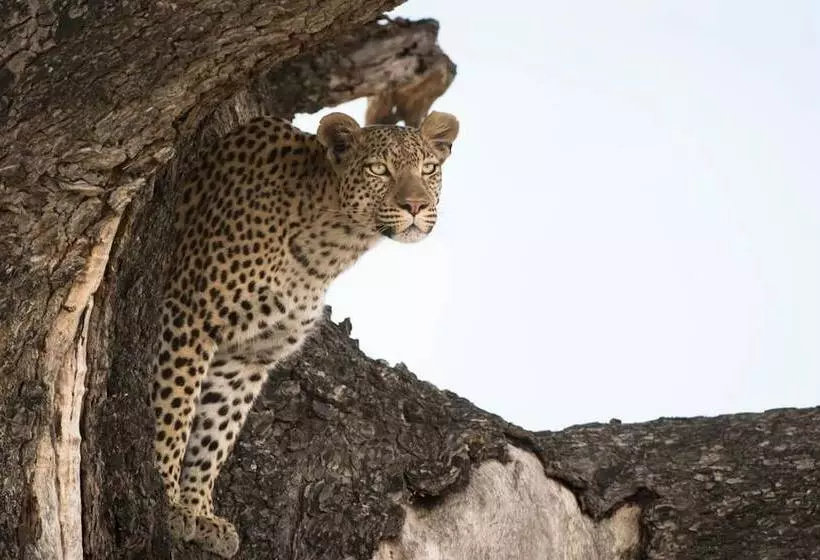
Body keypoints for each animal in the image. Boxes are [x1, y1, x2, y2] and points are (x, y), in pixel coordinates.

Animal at [150, 110, 459, 557]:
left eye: (429, 169)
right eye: (378, 169)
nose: (416, 205)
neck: (329, 243)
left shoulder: (247, 358)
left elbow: (215, 432)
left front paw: (199, 510)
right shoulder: (187, 316)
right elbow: (173, 413)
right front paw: (167, 499)